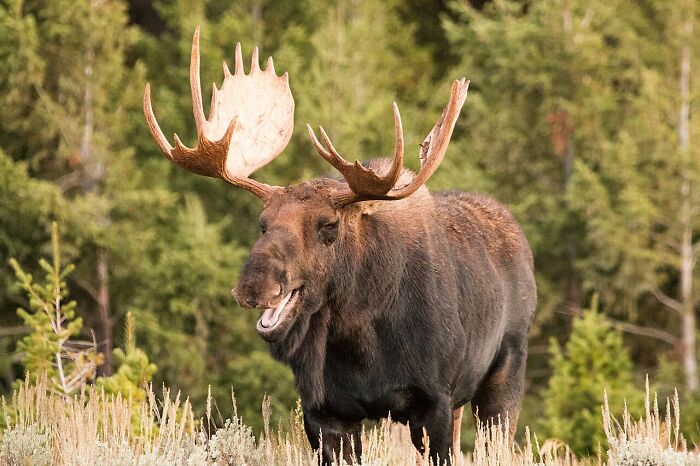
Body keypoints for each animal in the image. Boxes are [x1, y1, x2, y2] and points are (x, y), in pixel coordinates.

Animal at [143, 27, 536, 465]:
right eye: (263, 223)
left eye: (328, 225)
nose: (253, 286)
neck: (360, 342)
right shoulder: (325, 411)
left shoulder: (433, 399)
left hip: (506, 369)